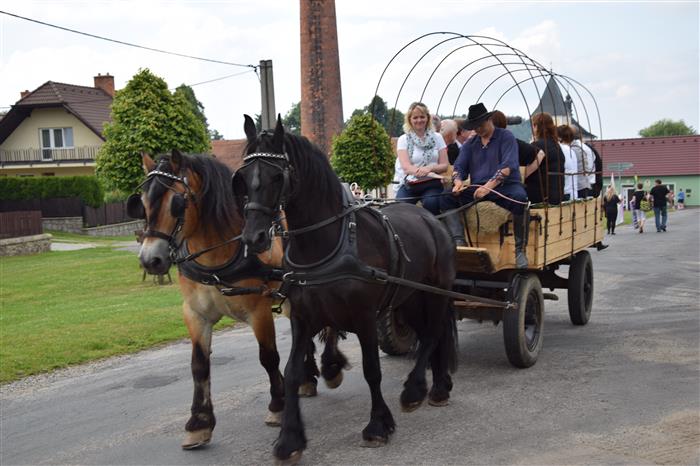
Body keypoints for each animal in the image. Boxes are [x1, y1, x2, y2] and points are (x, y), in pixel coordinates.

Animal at [129, 151, 348, 450]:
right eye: (142, 203)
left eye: (176, 203)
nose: (150, 260)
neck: (218, 254)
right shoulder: (195, 313)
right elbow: (199, 365)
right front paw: (200, 422)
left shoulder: (259, 310)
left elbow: (268, 357)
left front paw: (278, 405)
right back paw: (306, 377)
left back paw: (330, 366)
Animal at [232, 116, 456, 462]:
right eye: (242, 178)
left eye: (277, 175)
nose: (252, 238)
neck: (325, 243)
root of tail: (430, 217)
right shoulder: (302, 317)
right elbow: (292, 371)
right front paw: (290, 438)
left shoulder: (363, 317)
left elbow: (371, 369)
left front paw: (378, 425)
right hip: (409, 298)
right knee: (434, 333)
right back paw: (438, 386)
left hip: (435, 291)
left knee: (433, 333)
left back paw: (415, 389)